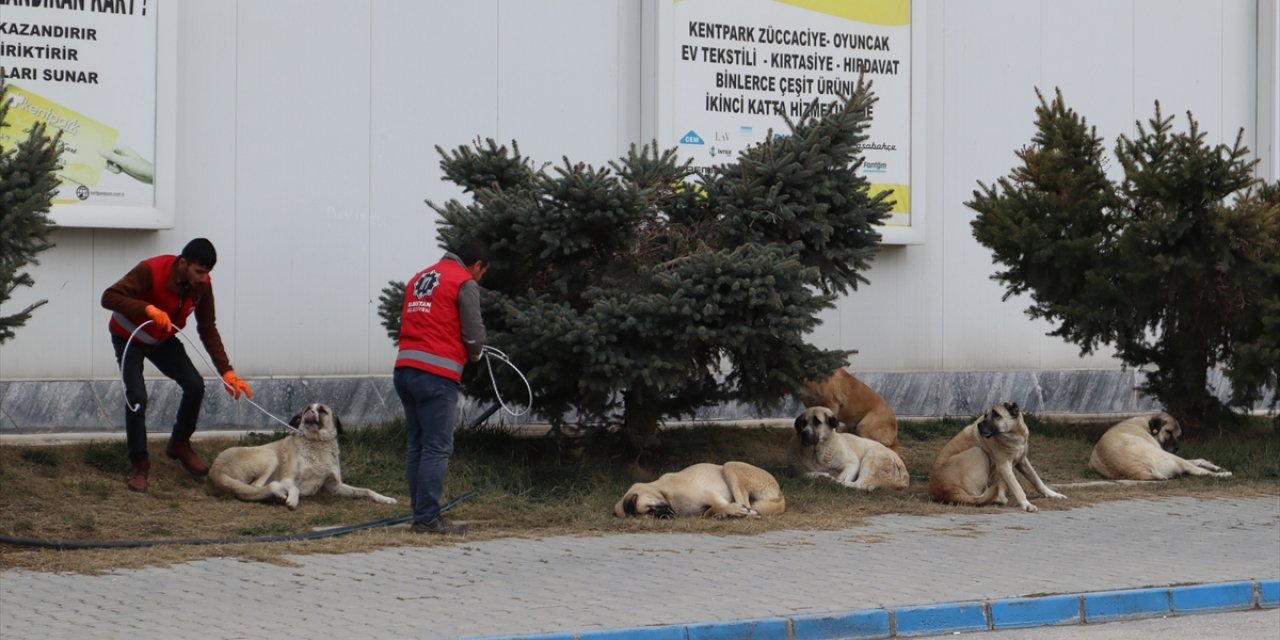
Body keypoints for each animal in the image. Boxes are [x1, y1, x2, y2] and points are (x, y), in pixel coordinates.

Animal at [207, 404, 396, 509]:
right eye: (307, 408)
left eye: (322, 410)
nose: (309, 412)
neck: (317, 443)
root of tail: (215, 470)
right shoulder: (288, 479)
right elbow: (295, 487)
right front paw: (292, 500)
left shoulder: (335, 486)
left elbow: (366, 490)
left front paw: (385, 498)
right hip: (270, 456)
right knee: (257, 486)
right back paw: (277, 495)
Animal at [611, 463, 783, 517]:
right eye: (650, 516)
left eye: (649, 509)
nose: (668, 516)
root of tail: (780, 494)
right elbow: (708, 512)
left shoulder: (709, 495)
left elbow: (720, 505)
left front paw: (734, 511)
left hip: (729, 466)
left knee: (744, 502)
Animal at [926, 401, 1064, 512]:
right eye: (985, 415)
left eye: (996, 415)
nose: (979, 426)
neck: (1013, 434)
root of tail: (947, 491)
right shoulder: (1004, 465)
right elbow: (1017, 487)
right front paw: (1026, 504)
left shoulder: (1023, 461)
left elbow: (1037, 481)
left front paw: (1053, 494)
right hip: (978, 452)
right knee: (980, 497)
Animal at [1090, 412, 1228, 478]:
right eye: (1168, 432)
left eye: (1179, 435)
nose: (1177, 448)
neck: (1146, 423)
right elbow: (1197, 464)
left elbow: (1199, 460)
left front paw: (1215, 465)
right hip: (1170, 457)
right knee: (1200, 471)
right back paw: (1223, 475)